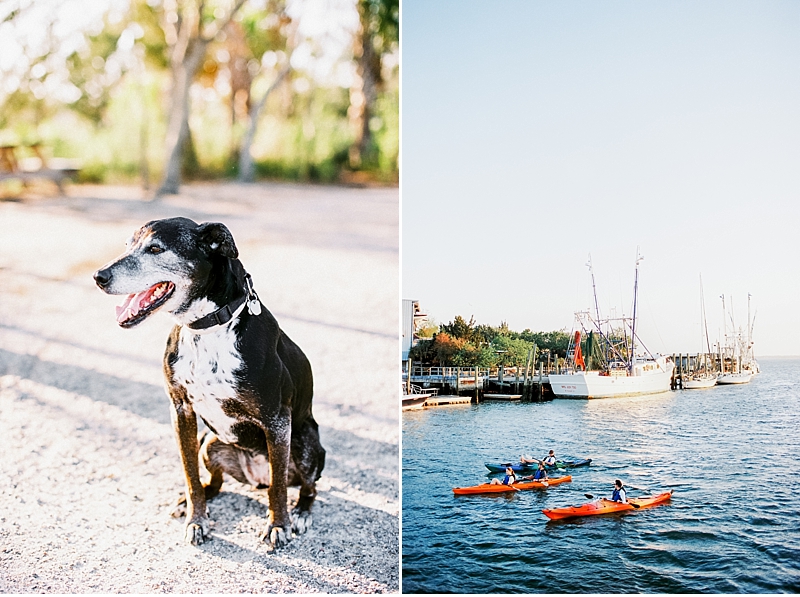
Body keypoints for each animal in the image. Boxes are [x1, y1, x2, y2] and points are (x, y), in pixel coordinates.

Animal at [90, 217, 322, 548]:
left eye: (156, 248)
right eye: (127, 245)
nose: (99, 277)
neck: (205, 328)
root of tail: (256, 476)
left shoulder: (277, 421)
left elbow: (278, 487)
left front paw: (278, 525)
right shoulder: (181, 411)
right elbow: (190, 476)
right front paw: (196, 520)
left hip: (305, 442)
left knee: (305, 486)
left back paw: (301, 512)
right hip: (210, 443)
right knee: (215, 482)